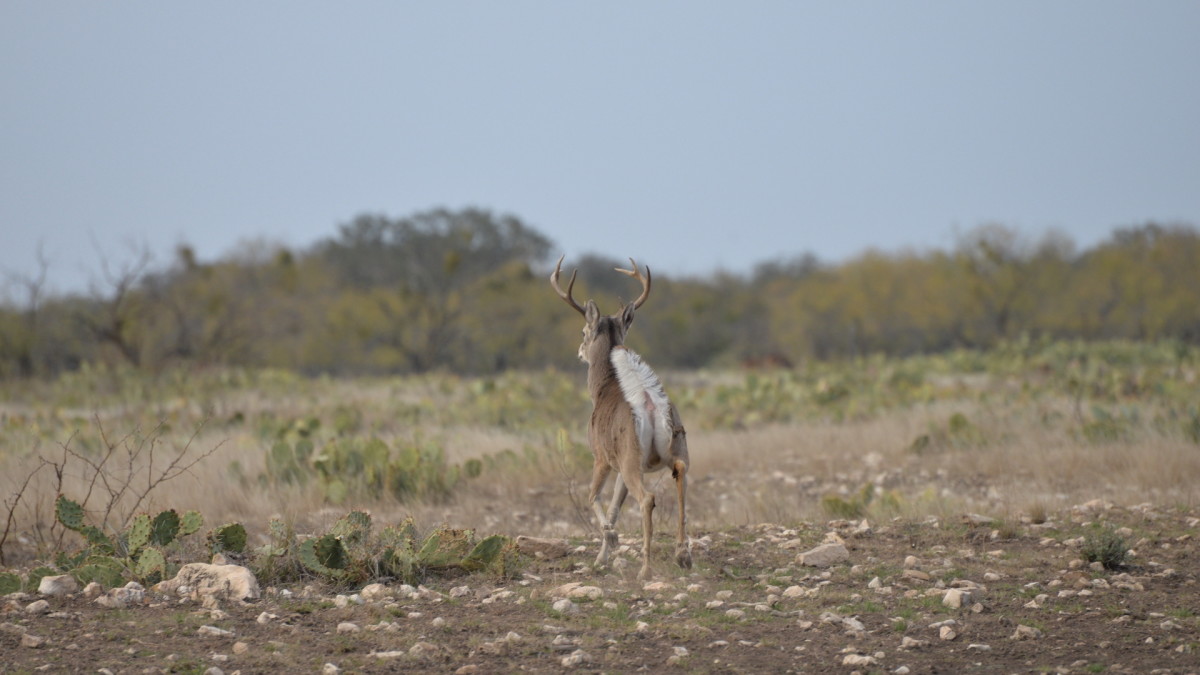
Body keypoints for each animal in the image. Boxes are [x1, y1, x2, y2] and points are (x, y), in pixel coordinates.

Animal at [549, 253, 691, 578]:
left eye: (584, 331)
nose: (579, 351)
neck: (603, 388)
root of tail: (651, 407)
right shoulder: (619, 465)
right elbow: (614, 507)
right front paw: (602, 557)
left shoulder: (601, 457)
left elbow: (593, 497)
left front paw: (610, 541)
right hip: (673, 448)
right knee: (681, 475)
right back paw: (682, 555)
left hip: (630, 457)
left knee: (647, 498)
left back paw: (645, 569)